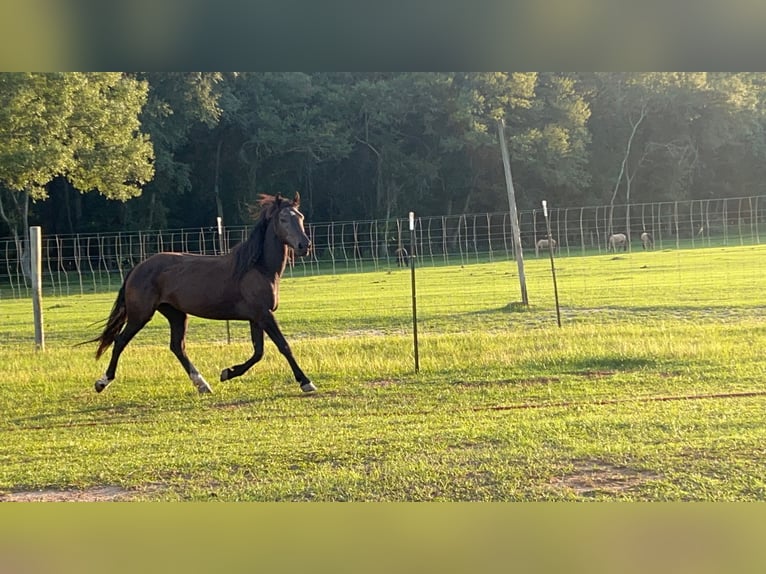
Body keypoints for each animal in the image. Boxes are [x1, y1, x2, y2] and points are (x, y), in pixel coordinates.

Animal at [85, 193, 316, 395]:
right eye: (283, 219)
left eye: (301, 217)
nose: (304, 245)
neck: (258, 268)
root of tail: (137, 268)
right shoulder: (264, 314)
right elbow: (283, 346)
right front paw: (306, 382)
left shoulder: (256, 318)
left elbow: (258, 352)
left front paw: (228, 372)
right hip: (140, 315)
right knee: (120, 341)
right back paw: (102, 382)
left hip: (176, 315)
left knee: (177, 347)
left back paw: (203, 385)